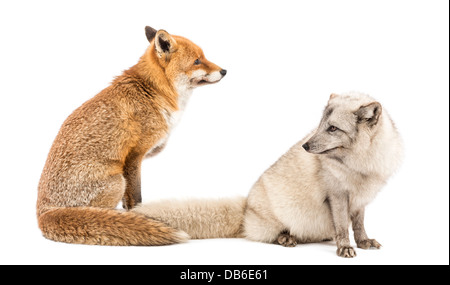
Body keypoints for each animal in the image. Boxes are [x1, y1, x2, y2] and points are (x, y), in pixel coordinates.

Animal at [37, 25, 227, 245]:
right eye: (197, 60)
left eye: (204, 57)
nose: (224, 71)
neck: (154, 91)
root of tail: (42, 214)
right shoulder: (134, 156)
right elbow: (136, 197)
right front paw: (138, 216)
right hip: (117, 181)